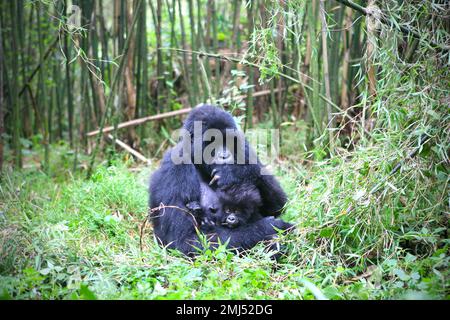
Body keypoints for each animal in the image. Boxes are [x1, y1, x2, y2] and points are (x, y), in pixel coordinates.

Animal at [149, 104, 294, 255]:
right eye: (213, 141)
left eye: (228, 141)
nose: (225, 155)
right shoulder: (174, 167)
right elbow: (183, 240)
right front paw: (271, 226)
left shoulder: (245, 149)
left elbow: (278, 206)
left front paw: (239, 171)